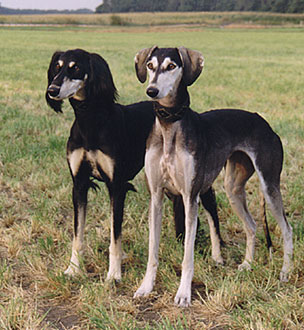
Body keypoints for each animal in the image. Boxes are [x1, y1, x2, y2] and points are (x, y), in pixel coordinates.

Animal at [45, 49, 222, 282]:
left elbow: (115, 235)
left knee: (211, 209)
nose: (52, 90)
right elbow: (78, 232)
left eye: (75, 68)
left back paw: (217, 253)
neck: (90, 121)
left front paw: (114, 274)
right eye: (57, 67)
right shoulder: (79, 184)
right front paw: (73, 268)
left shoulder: (116, 186)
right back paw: (181, 239)